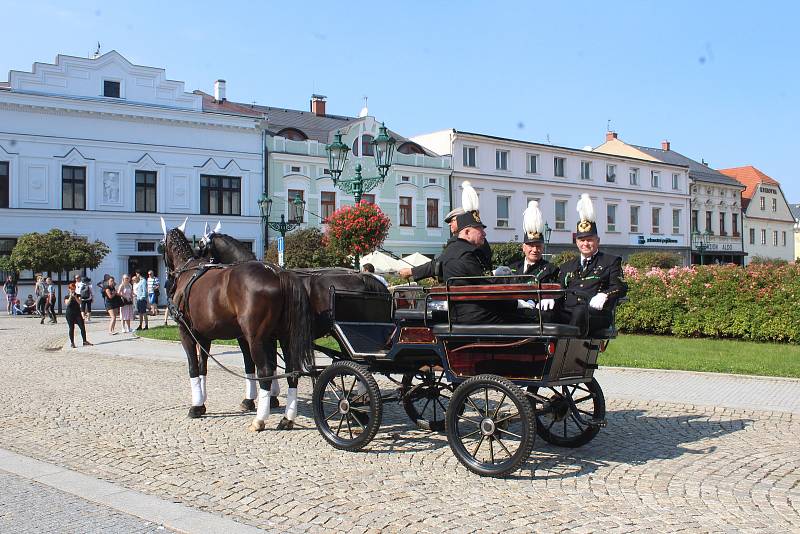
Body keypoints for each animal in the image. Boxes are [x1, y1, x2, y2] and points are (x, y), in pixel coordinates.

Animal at [161, 220, 314, 434]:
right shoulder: (205, 335)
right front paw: (202, 403)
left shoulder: (187, 332)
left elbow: (194, 367)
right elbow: (203, 366)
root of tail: (278, 273)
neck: (188, 271)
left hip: (256, 339)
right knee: (292, 373)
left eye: (201, 244)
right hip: (285, 337)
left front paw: (196, 405)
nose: (168, 281)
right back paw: (287, 419)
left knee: (265, 372)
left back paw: (260, 420)